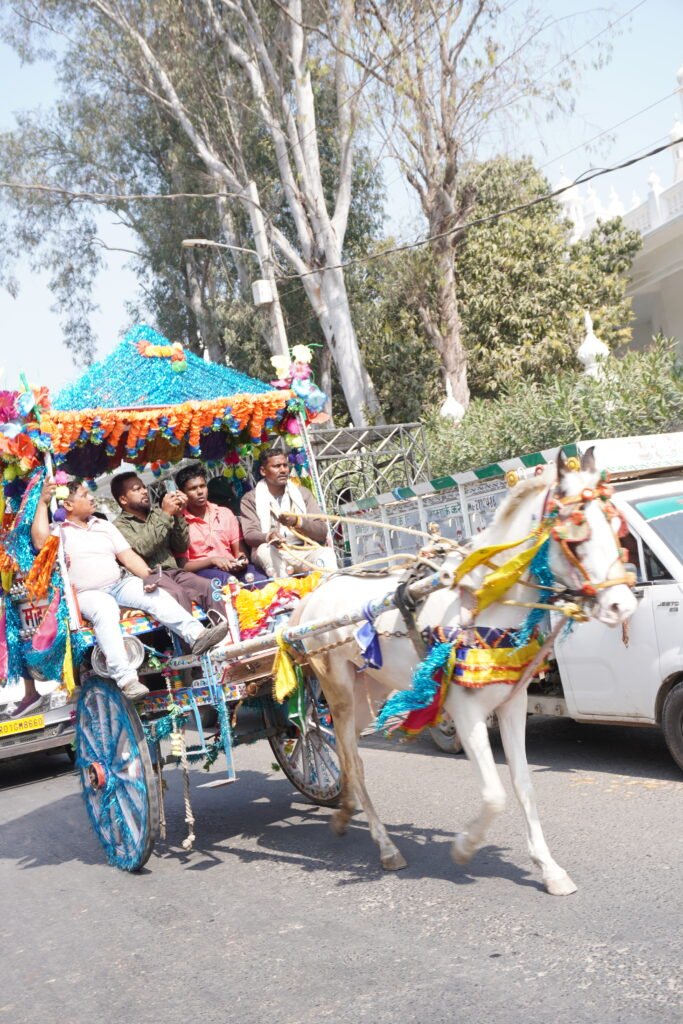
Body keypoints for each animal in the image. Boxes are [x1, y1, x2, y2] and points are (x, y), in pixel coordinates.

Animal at [292, 456, 634, 897]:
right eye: (574, 537)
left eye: (614, 528)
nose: (622, 605)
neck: (484, 600)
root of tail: (314, 596)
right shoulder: (465, 710)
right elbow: (494, 794)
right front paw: (465, 845)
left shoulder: (512, 703)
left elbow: (523, 785)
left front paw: (549, 868)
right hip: (340, 690)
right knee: (352, 758)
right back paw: (385, 847)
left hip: (372, 691)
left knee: (349, 757)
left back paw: (347, 813)